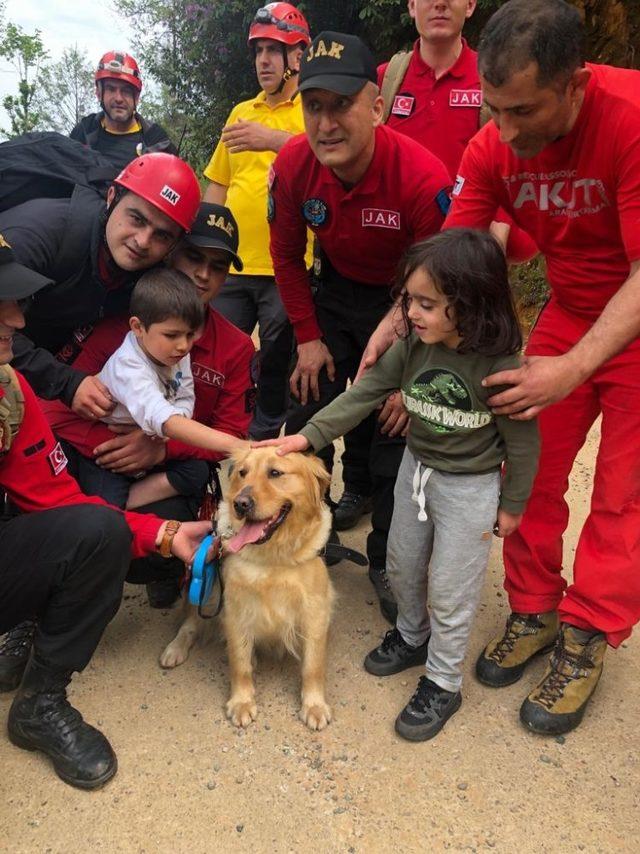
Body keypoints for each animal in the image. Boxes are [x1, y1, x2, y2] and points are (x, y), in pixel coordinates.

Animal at [160, 444, 336, 732]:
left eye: (275, 473)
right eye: (242, 472)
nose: (240, 504)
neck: (272, 556)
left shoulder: (315, 610)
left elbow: (313, 665)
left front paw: (314, 705)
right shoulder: (234, 608)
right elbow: (239, 663)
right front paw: (242, 702)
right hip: (208, 586)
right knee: (189, 624)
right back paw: (174, 649)